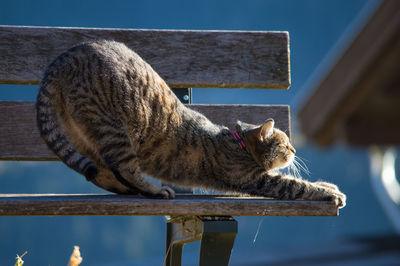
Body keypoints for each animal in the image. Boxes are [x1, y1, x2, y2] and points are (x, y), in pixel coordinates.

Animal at [36, 39, 346, 207]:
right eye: (284, 143)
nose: (294, 150)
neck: (237, 144)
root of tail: (63, 58)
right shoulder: (254, 179)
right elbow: (297, 185)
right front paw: (329, 192)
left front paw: (326, 185)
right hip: (115, 129)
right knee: (124, 167)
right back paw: (154, 190)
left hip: (84, 135)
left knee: (98, 172)